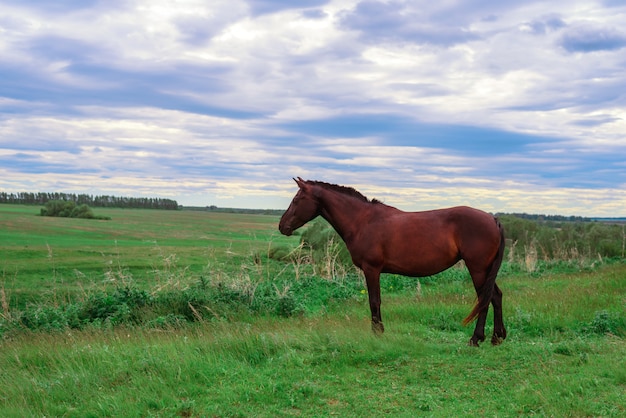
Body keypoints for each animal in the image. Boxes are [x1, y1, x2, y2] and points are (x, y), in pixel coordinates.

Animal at [280, 178, 504, 344]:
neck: (363, 221)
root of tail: (492, 219)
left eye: (297, 199)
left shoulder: (371, 269)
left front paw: (377, 332)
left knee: (486, 298)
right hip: (485, 271)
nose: (282, 226)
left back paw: (476, 339)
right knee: (496, 296)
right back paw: (497, 337)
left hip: (478, 269)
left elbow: (374, 301)